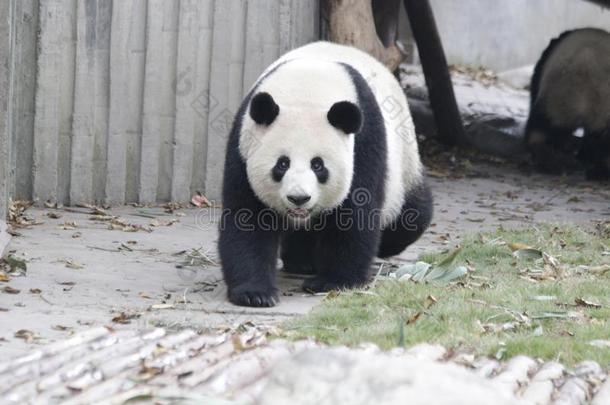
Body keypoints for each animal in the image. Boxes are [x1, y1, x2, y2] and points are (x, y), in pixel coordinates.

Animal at [218, 41, 432, 306]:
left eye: (318, 165)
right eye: (282, 164)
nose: (299, 198)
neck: (308, 86)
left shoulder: (364, 143)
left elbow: (354, 214)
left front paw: (333, 282)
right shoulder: (243, 144)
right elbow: (247, 217)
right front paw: (255, 293)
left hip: (404, 164)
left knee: (412, 215)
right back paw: (301, 261)